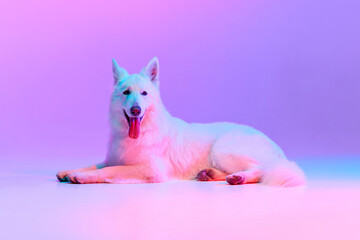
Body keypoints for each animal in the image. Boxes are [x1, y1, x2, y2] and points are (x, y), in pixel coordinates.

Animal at [56, 57, 304, 187]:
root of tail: (277, 148)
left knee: (260, 169)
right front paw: (70, 170)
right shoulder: (112, 158)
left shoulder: (150, 169)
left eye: (144, 93)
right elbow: (96, 164)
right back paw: (211, 175)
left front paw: (82, 177)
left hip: (223, 149)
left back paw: (240, 178)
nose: (136, 110)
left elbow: (111, 170)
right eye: (126, 92)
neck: (139, 133)